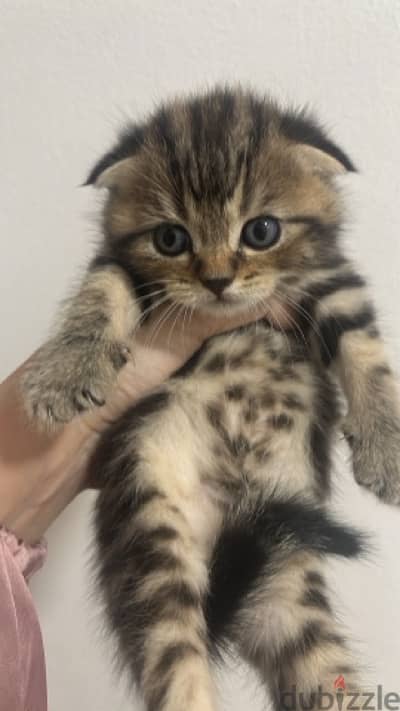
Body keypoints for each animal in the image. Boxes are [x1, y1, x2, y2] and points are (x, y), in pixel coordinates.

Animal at [21, 89, 400, 711]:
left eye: (262, 231)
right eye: (171, 239)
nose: (218, 281)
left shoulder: (332, 276)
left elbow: (366, 350)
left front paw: (385, 444)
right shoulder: (121, 265)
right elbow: (99, 294)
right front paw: (65, 369)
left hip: (295, 597)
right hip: (152, 537)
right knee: (177, 664)